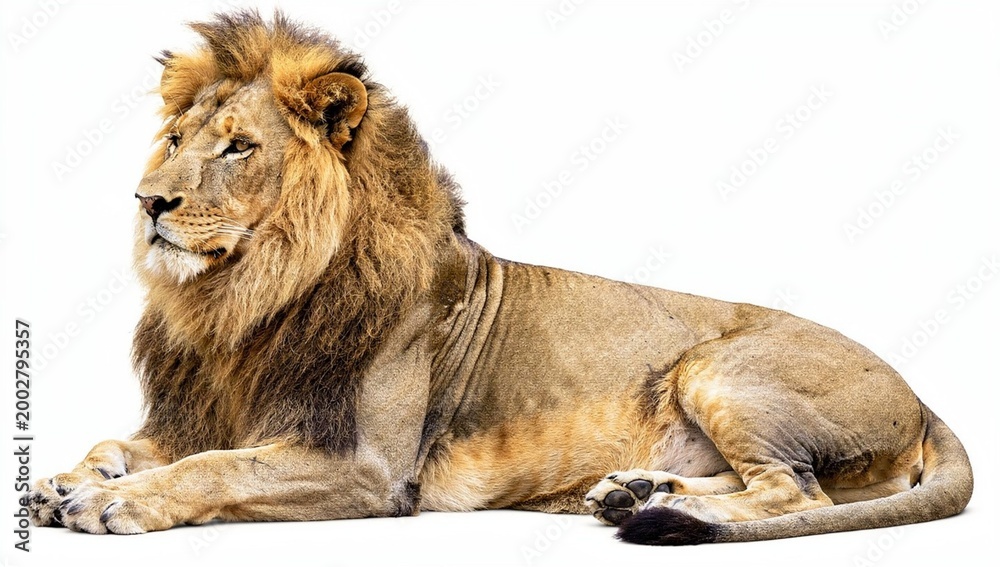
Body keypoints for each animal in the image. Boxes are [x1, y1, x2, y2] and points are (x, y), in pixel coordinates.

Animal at [28, 11, 972, 545]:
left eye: (237, 147)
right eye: (174, 140)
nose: (149, 200)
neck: (242, 303)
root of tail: (925, 397)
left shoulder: (367, 467)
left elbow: (213, 469)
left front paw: (120, 502)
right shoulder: (212, 410)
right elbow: (129, 444)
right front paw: (68, 479)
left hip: (720, 367)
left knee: (791, 488)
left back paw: (664, 510)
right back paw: (632, 491)